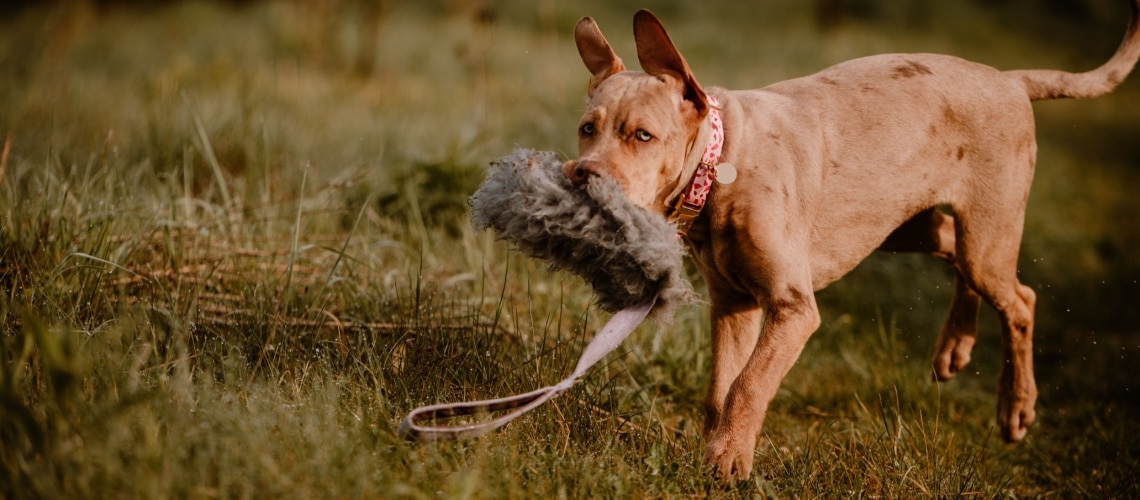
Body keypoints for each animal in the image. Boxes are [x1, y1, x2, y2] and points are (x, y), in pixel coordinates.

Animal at [560, 3, 1140, 480]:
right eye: (587, 128)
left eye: (643, 137)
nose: (582, 176)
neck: (722, 160)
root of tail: (1010, 79)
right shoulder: (734, 307)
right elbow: (720, 390)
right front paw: (720, 451)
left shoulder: (792, 308)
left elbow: (749, 385)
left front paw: (728, 463)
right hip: (908, 227)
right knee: (960, 253)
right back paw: (955, 344)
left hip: (986, 231)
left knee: (1020, 299)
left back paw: (1016, 406)